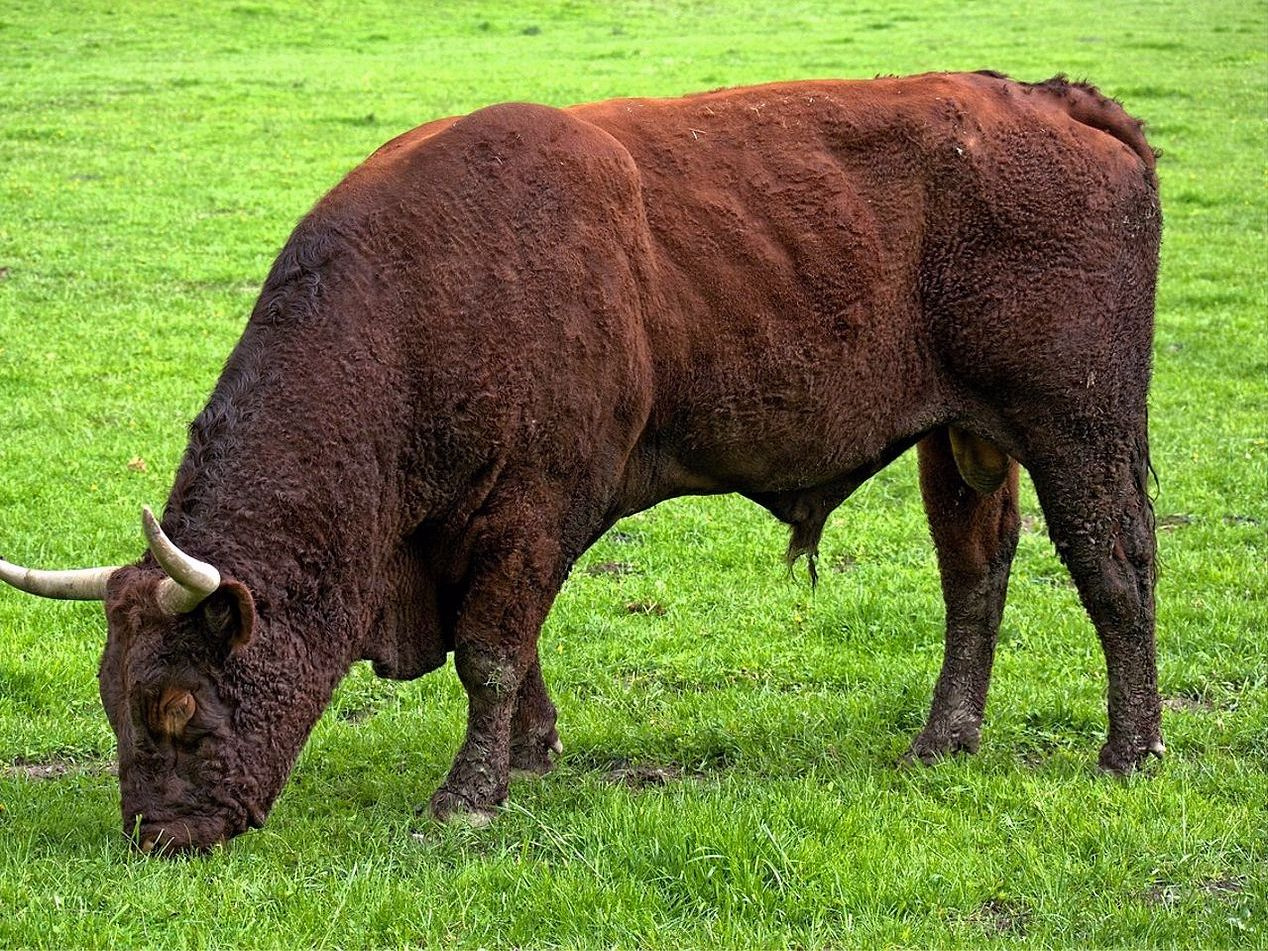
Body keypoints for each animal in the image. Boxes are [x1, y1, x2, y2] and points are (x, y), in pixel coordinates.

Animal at [0, 71, 1162, 854]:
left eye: (178, 707)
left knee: (1116, 571)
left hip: (1080, 425)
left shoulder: (534, 504)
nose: (157, 836)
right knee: (975, 576)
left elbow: (489, 650)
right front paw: (530, 749)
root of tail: (1056, 103)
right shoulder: (479, 532)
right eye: (112, 702)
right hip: (960, 441)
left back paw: (1130, 750)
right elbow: (515, 648)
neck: (423, 298)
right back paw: (942, 741)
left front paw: (467, 798)